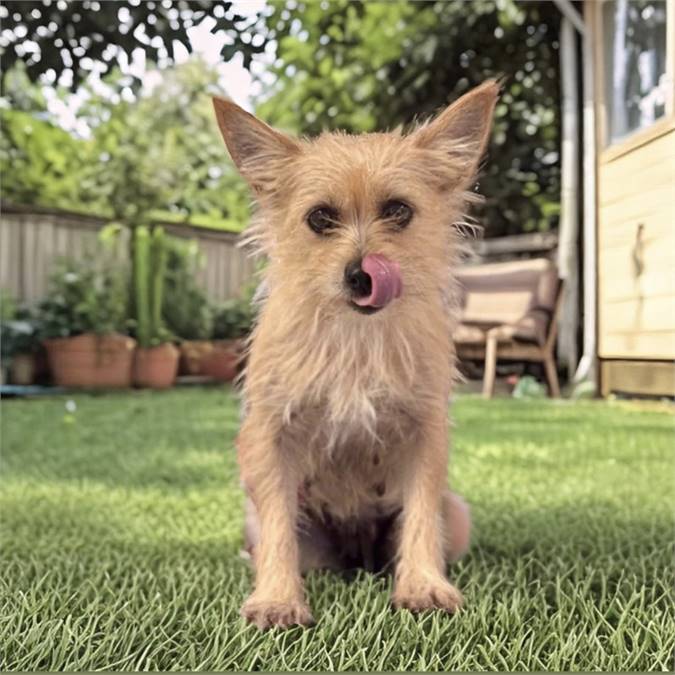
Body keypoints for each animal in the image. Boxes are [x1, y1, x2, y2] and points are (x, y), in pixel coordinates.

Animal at [214, 82, 500, 632]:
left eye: (398, 211)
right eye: (320, 218)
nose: (362, 274)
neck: (355, 339)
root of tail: (355, 555)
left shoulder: (424, 435)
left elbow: (420, 515)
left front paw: (423, 585)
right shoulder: (269, 436)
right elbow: (279, 528)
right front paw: (278, 598)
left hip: (456, 517)